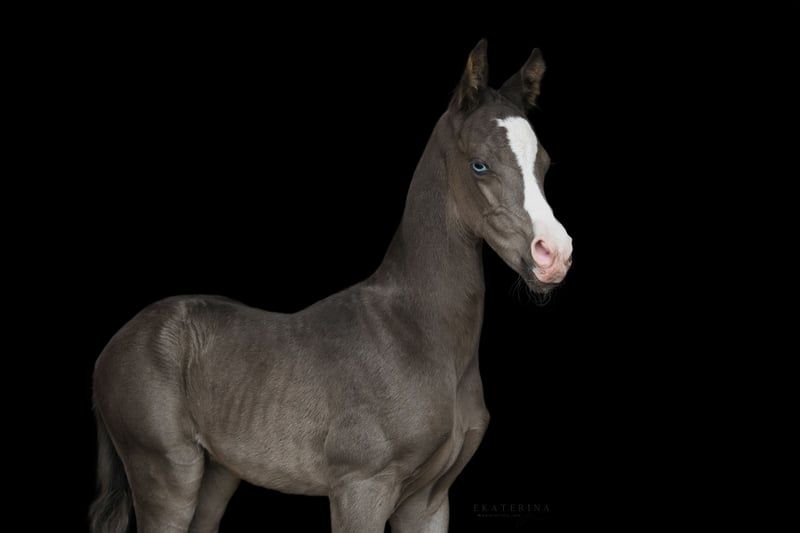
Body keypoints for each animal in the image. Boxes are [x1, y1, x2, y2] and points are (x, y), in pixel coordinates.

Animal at [90, 39, 573, 533]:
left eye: (544, 163)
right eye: (479, 164)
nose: (553, 254)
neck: (416, 334)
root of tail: (115, 344)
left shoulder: (430, 502)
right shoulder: (361, 488)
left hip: (217, 475)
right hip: (167, 473)